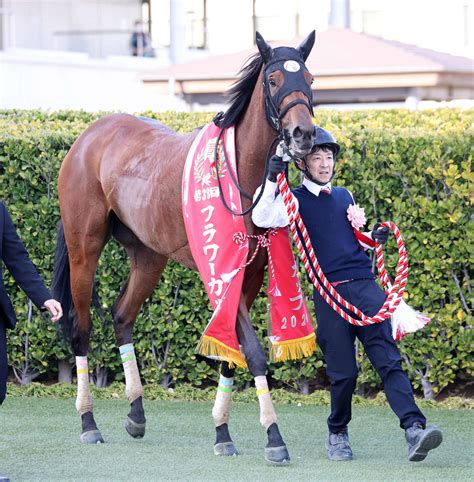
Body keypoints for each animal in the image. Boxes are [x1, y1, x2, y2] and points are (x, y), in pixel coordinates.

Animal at [53, 31, 316, 464]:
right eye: (274, 79)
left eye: (309, 78)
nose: (303, 134)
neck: (240, 174)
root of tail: (88, 136)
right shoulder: (222, 269)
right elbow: (252, 350)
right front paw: (274, 436)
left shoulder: (251, 272)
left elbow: (231, 353)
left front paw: (222, 432)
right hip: (83, 247)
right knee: (81, 327)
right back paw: (88, 422)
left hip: (148, 255)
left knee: (122, 315)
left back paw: (136, 413)